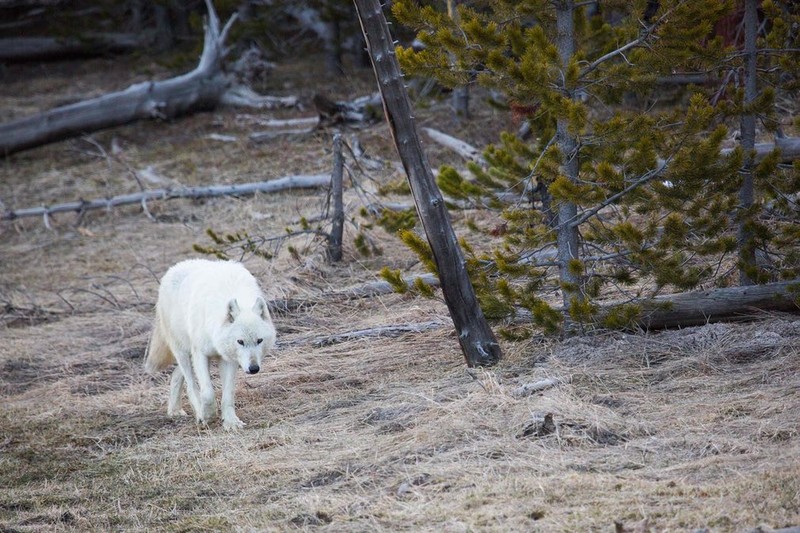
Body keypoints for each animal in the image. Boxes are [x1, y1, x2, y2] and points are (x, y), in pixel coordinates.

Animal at [145, 260, 276, 430]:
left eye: (259, 340)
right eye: (240, 341)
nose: (253, 369)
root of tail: (175, 267)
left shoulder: (228, 358)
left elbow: (228, 395)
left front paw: (231, 422)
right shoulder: (200, 354)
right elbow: (207, 393)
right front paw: (207, 416)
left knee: (176, 374)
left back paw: (174, 410)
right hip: (183, 351)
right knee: (191, 384)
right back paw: (197, 413)